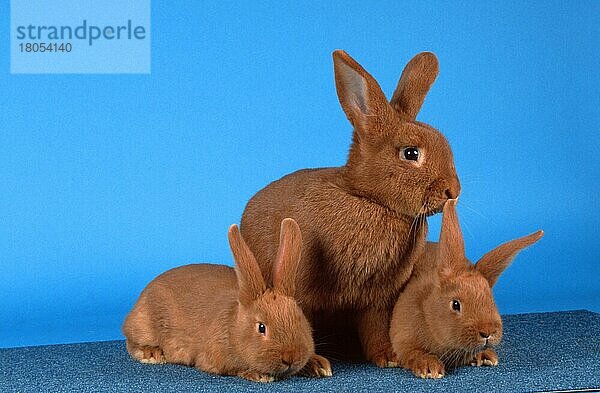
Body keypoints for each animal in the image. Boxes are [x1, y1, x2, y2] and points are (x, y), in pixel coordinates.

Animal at [120, 217, 330, 380]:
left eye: (300, 320)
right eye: (261, 327)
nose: (290, 357)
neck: (233, 327)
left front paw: (319, 365)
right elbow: (234, 368)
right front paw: (259, 375)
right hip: (144, 325)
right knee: (132, 343)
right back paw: (152, 354)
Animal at [239, 49, 460, 368]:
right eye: (411, 153)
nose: (453, 191)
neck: (370, 200)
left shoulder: (377, 298)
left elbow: (375, 327)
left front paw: (389, 357)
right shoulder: (304, 289)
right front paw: (314, 364)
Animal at [390, 201, 544, 378]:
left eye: (491, 299)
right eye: (455, 304)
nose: (487, 332)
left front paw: (487, 357)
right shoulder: (403, 340)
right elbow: (413, 353)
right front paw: (430, 369)